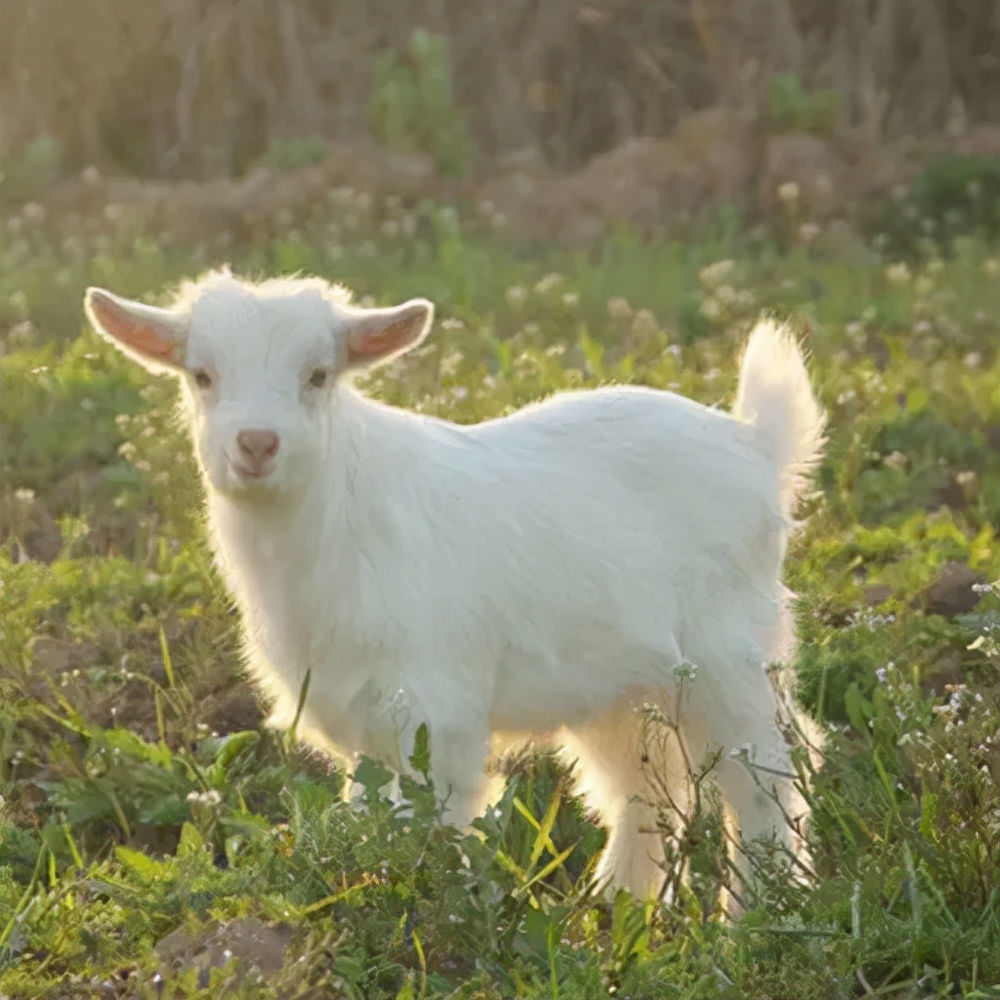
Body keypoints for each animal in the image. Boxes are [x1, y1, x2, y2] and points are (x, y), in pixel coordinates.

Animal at [84, 270, 828, 904]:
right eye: (202, 375)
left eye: (318, 375)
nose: (257, 444)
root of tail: (755, 444)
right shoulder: (360, 719)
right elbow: (369, 815)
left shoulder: (435, 711)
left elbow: (432, 826)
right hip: (615, 686)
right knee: (646, 788)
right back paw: (616, 913)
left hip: (730, 652)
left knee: (766, 778)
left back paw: (755, 921)